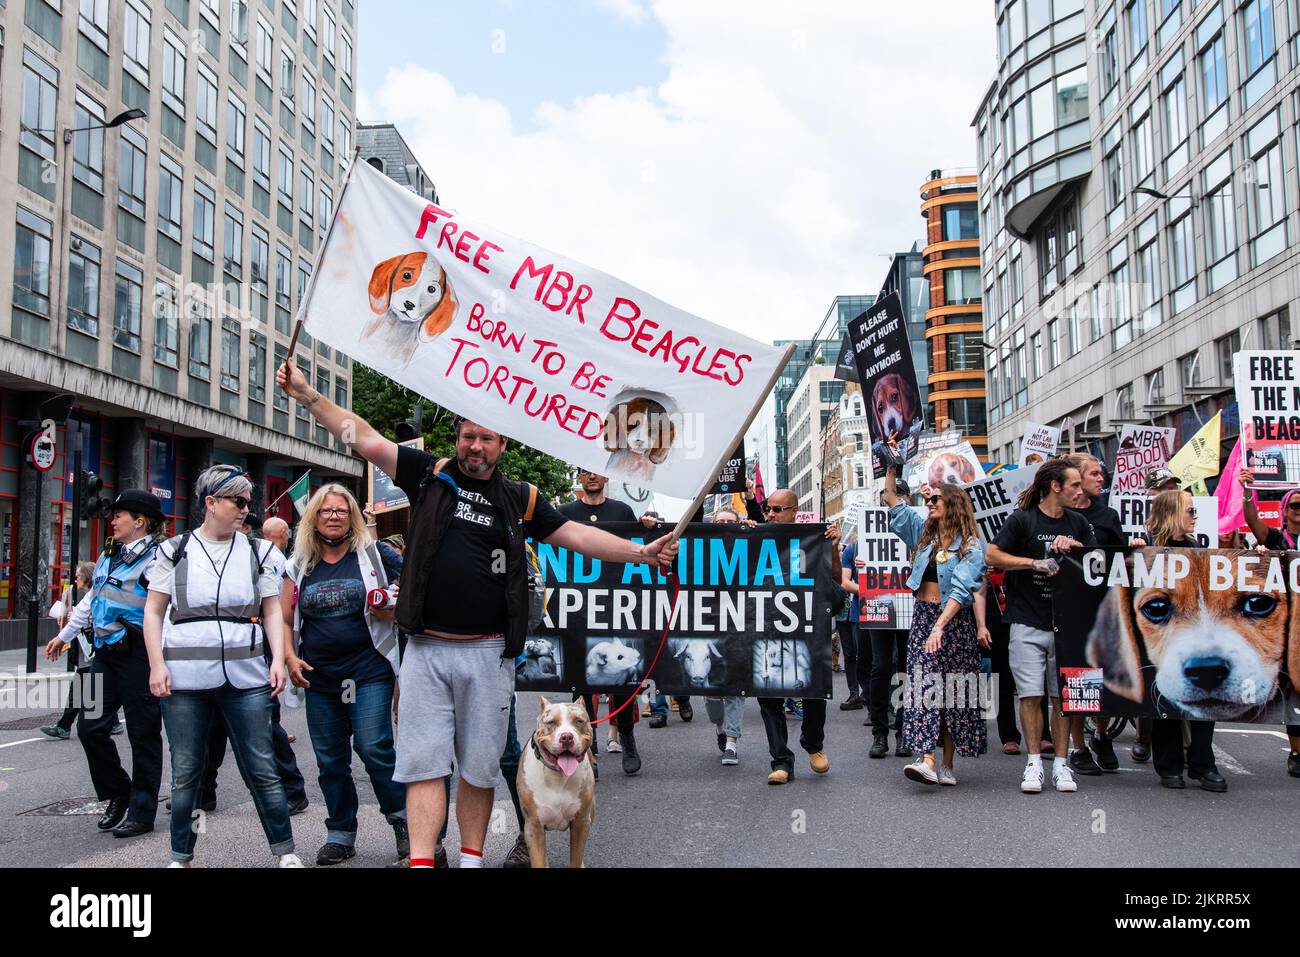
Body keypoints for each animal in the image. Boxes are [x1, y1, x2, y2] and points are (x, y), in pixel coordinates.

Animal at [517, 696, 598, 868]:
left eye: (579, 721)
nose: (566, 737)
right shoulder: (534, 826)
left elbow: (576, 858)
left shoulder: (581, 822)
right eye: (551, 722)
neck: (558, 776)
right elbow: (539, 860)